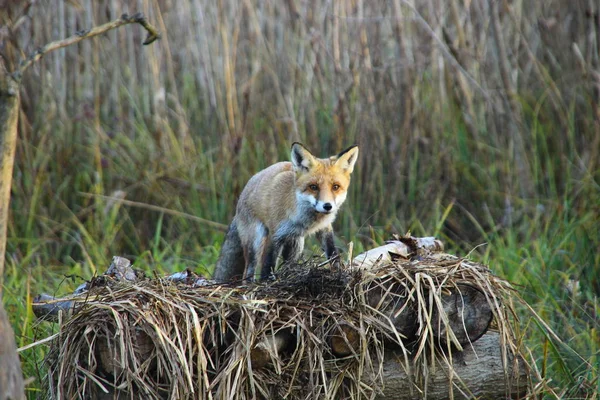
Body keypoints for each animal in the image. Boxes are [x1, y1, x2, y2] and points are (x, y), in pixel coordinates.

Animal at [213, 142, 358, 282]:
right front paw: (266, 281)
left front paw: (339, 271)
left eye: (336, 187)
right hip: (256, 241)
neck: (305, 219)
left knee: (289, 264)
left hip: (296, 242)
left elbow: (332, 252)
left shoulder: (325, 228)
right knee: (248, 272)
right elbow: (268, 263)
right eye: (313, 187)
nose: (327, 206)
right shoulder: (275, 234)